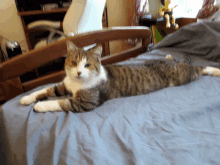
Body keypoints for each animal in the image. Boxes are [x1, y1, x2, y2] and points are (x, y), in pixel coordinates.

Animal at [19, 40, 220, 112]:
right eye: (74, 63)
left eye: (87, 65)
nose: (78, 72)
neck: (77, 84)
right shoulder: (65, 85)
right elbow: (46, 90)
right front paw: (27, 98)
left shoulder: (86, 102)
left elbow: (61, 102)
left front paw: (41, 106)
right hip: (167, 63)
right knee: (176, 60)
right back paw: (169, 56)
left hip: (183, 75)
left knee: (199, 68)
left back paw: (214, 70)